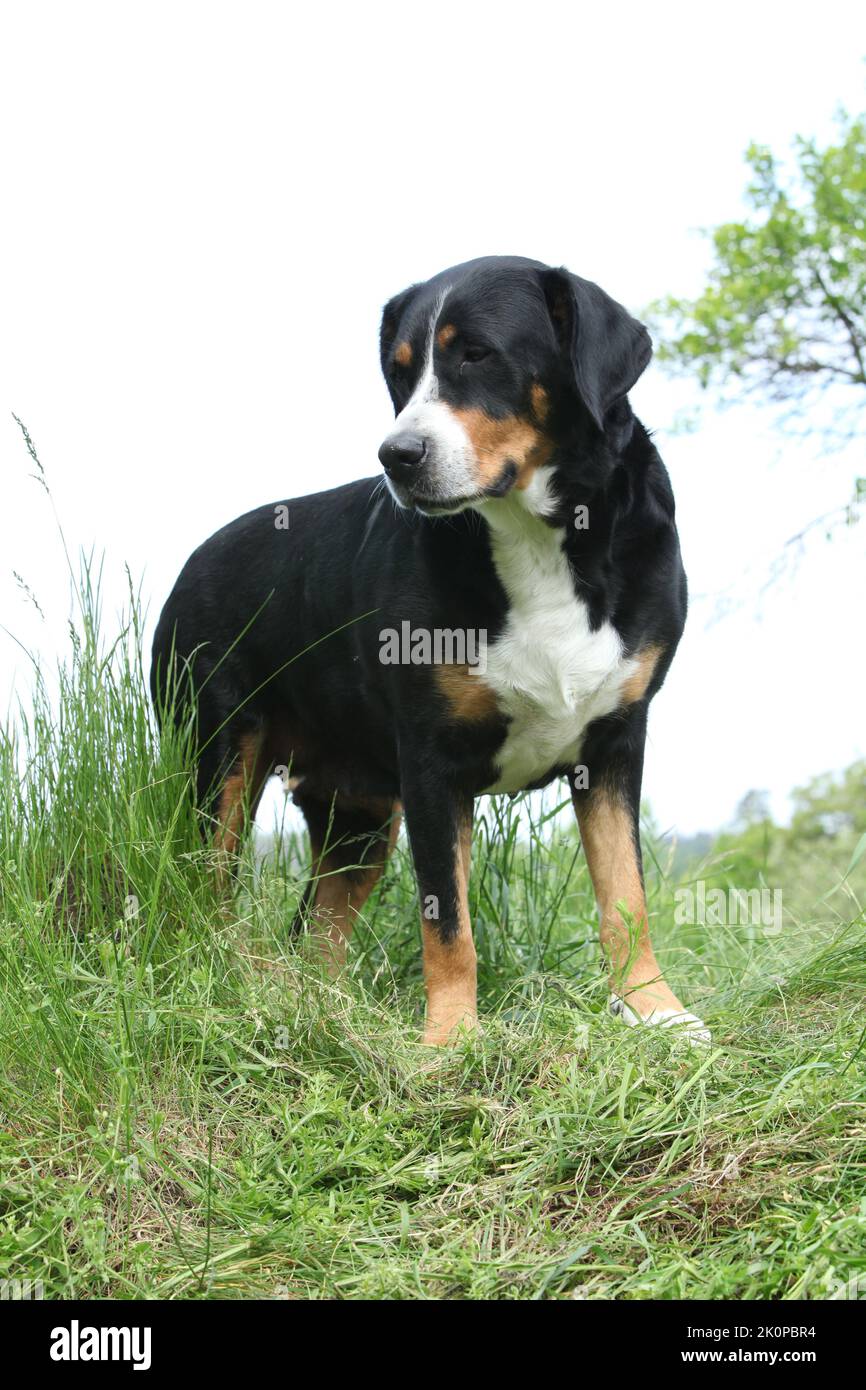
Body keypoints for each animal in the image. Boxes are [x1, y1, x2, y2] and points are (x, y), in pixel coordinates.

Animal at [152, 258, 711, 1045]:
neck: (536, 541)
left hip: (357, 819)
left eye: (476, 354)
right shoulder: (431, 762)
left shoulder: (614, 743)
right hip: (219, 761)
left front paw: (654, 1010)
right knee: (209, 890)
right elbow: (448, 922)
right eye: (400, 368)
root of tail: (196, 558)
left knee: (314, 935)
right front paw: (451, 1041)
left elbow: (624, 895)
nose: (398, 455)